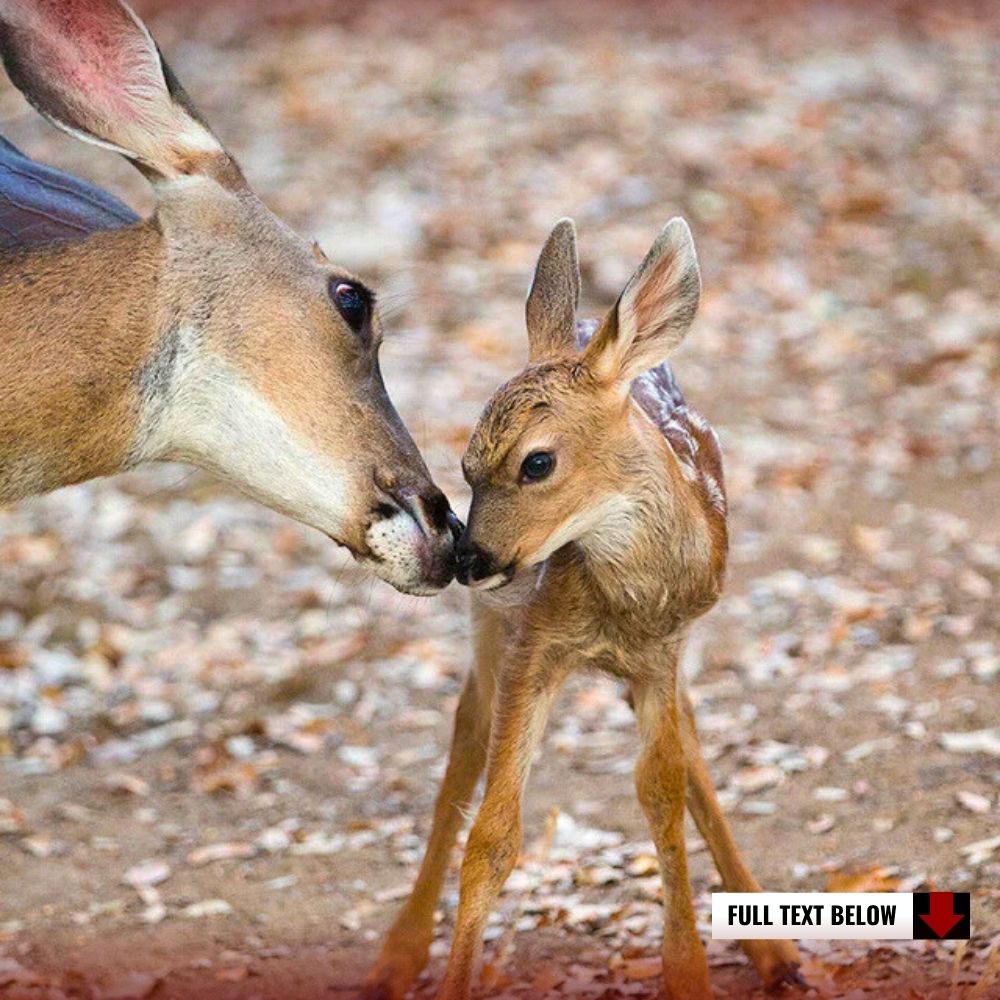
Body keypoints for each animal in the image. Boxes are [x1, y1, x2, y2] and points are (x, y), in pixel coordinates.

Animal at [368, 219, 804, 1000]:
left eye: (537, 462)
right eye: (465, 468)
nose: (468, 559)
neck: (622, 601)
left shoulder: (662, 652)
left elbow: (662, 791)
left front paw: (689, 972)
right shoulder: (533, 644)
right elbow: (493, 835)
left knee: (690, 747)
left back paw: (777, 953)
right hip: (491, 631)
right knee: (466, 738)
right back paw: (397, 956)